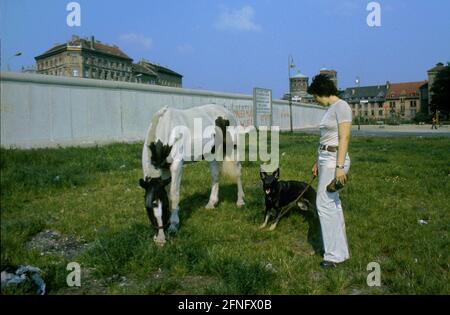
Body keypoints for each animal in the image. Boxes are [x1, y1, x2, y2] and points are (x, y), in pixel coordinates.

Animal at [141, 105, 246, 246]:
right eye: (148, 207)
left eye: (165, 206)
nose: (160, 240)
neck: (166, 129)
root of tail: (230, 113)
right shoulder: (164, 169)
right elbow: (168, 192)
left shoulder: (176, 165)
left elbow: (174, 194)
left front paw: (174, 225)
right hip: (210, 153)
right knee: (215, 175)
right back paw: (211, 203)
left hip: (232, 149)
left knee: (238, 173)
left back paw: (240, 201)